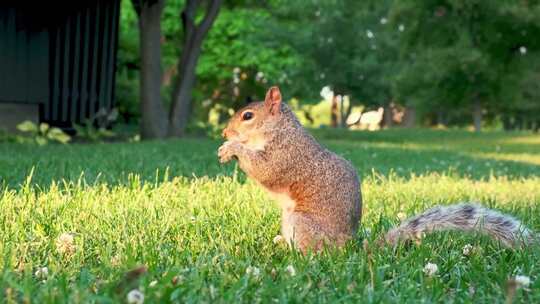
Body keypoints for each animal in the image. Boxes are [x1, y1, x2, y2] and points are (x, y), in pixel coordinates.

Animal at [217, 86, 532, 253]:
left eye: (248, 116)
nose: (223, 132)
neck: (279, 130)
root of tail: (347, 247)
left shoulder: (287, 156)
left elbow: (266, 170)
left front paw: (232, 149)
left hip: (302, 222)